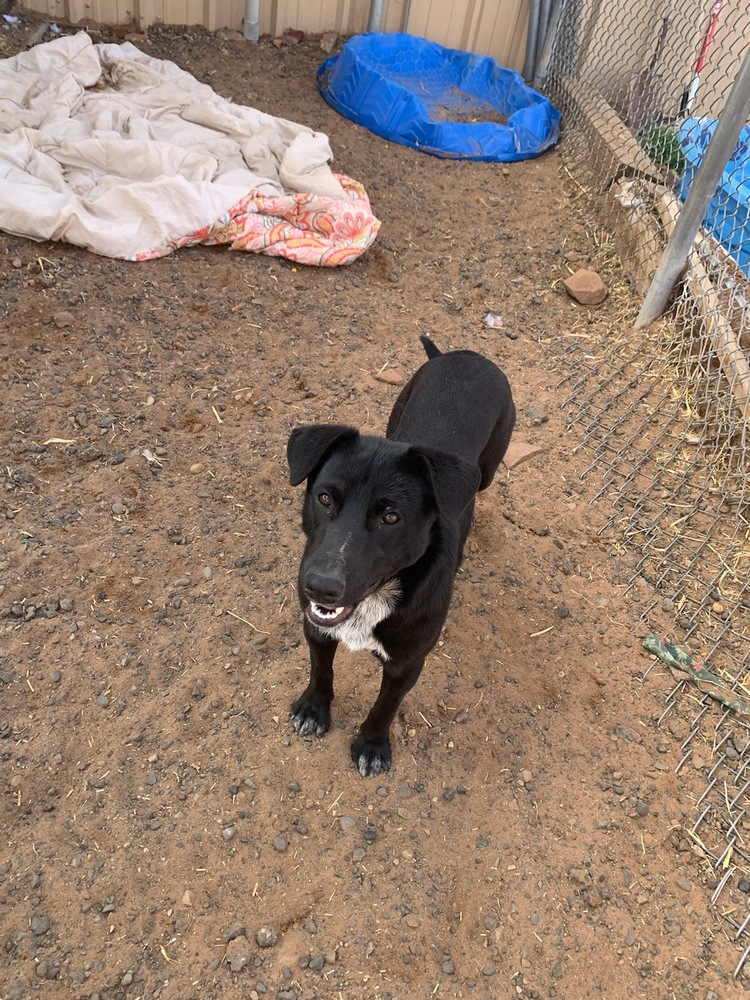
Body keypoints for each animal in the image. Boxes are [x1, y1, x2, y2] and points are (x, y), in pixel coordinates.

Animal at [288, 334, 516, 772]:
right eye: (324, 498)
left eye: (391, 517)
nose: (320, 587)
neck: (376, 598)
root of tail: (466, 356)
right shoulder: (316, 628)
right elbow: (320, 671)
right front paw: (313, 708)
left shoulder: (407, 664)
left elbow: (385, 707)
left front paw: (372, 744)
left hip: (490, 466)